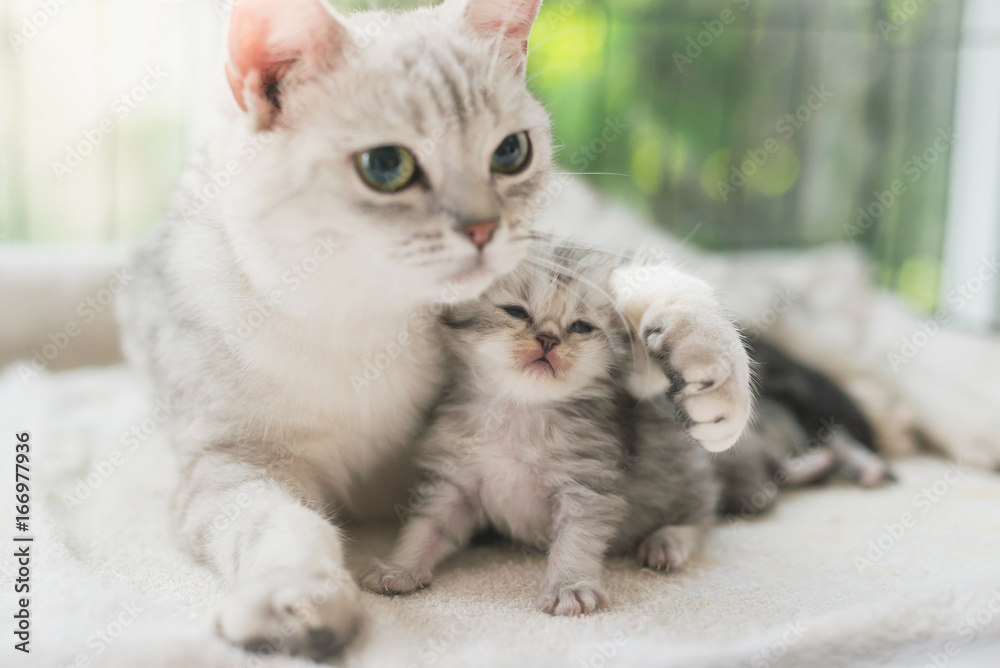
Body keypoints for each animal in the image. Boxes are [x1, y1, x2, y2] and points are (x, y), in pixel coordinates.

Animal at [360, 243, 720, 612]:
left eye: (581, 326)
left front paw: (569, 585)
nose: (548, 339)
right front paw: (400, 567)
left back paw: (667, 541)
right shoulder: (455, 482)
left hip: (678, 478)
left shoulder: (585, 486)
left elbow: (575, 539)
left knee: (702, 518)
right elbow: (427, 527)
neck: (520, 410)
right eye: (516, 312)